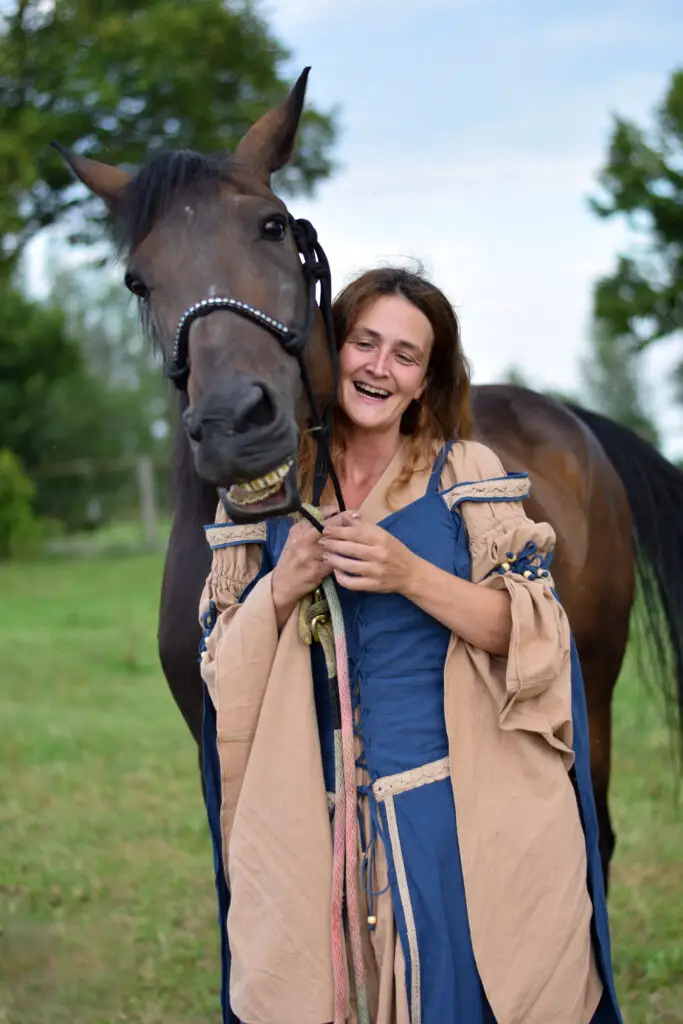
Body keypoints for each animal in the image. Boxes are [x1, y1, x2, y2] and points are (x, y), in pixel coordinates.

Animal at [54, 67, 683, 891]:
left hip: (592, 697)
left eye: (273, 227)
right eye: (136, 279)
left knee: (590, 839)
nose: (233, 424)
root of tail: (567, 418)